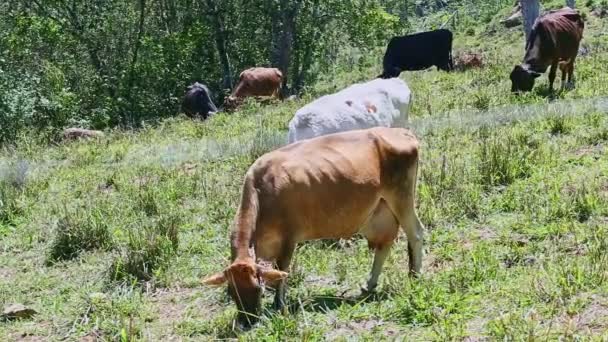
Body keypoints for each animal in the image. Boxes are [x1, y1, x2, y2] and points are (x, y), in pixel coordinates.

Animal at [202, 127, 426, 328]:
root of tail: (401, 131)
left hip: (402, 197)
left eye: (257, 289)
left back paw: (415, 277)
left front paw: (279, 304)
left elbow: (282, 269)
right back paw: (369, 285)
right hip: (380, 211)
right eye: (231, 291)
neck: (262, 190)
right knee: (384, 244)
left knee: (416, 233)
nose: (248, 322)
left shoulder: (289, 238)